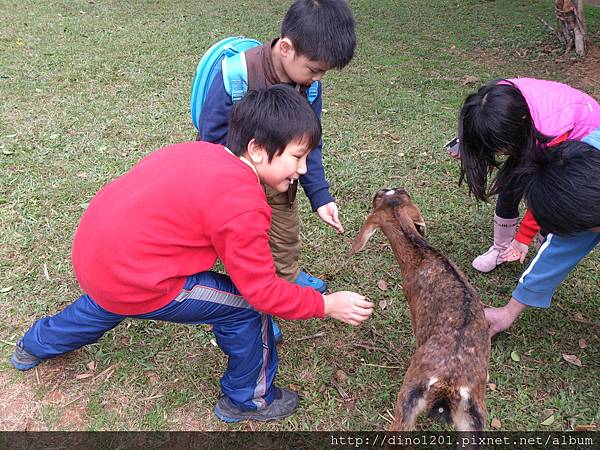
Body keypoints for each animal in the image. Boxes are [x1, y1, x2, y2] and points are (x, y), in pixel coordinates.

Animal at [350, 187, 490, 432]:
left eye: (377, 198)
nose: (381, 189)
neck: (420, 254)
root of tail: (449, 383)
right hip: (474, 418)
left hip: (408, 397)